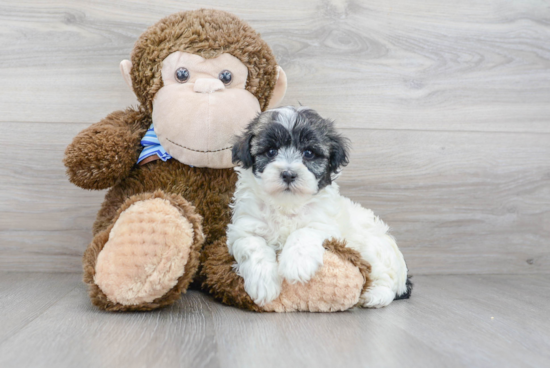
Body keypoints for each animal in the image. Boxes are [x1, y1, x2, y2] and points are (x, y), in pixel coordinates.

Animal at [226, 106, 412, 308]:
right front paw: (263, 283)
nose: (288, 174)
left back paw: (374, 296)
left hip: (375, 249)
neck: (287, 204)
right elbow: (253, 245)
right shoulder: (244, 227)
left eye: (308, 153)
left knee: (387, 280)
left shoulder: (323, 224)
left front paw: (296, 264)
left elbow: (303, 232)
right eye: (271, 151)